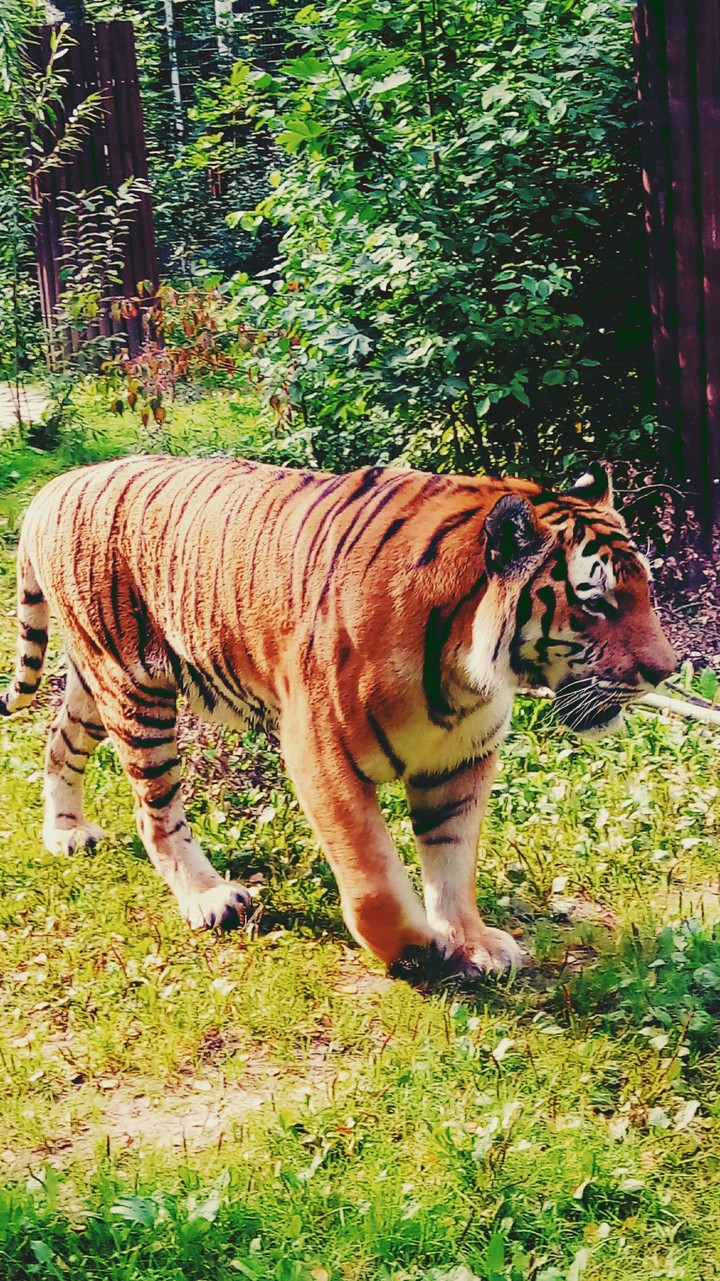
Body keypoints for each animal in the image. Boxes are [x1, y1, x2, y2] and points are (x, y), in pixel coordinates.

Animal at [1, 455, 676, 978]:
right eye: (596, 602)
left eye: (645, 590)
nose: (666, 672)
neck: (463, 666)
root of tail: (56, 485)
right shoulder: (321, 753)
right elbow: (373, 874)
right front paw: (414, 949)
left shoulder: (460, 761)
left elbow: (453, 859)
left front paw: (470, 941)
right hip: (135, 690)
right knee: (154, 808)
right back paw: (209, 897)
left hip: (97, 686)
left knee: (57, 744)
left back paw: (65, 833)